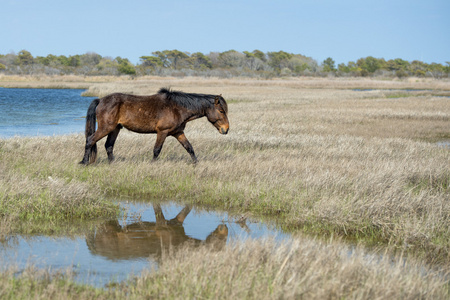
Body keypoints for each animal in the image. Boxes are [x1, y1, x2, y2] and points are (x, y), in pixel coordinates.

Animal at [79, 88, 229, 165]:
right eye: (221, 111)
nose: (226, 129)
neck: (177, 108)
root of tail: (101, 100)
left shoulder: (178, 133)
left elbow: (189, 148)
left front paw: (196, 163)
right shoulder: (162, 132)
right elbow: (157, 150)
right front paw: (152, 164)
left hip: (115, 128)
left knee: (109, 146)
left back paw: (113, 164)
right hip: (106, 128)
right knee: (90, 141)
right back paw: (84, 162)